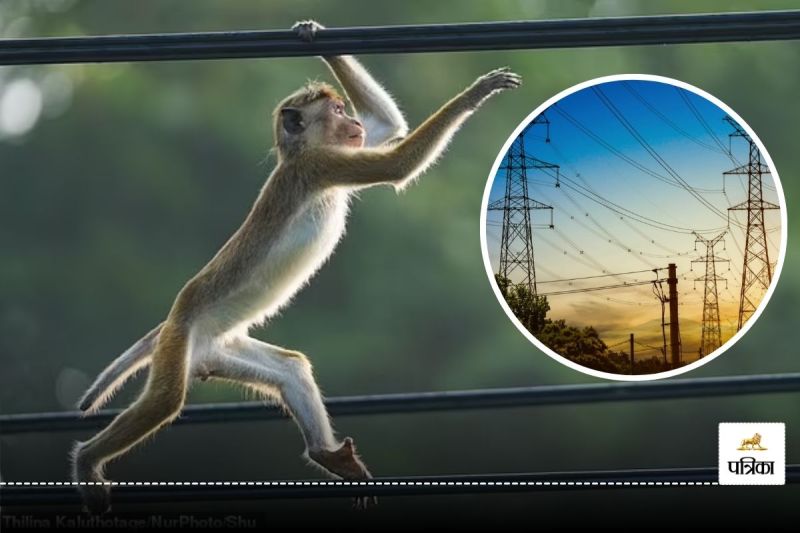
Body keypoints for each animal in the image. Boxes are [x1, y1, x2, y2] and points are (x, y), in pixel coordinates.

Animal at [71, 19, 521, 514]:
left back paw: (326, 454)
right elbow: (398, 163)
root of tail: (176, 323)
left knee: (291, 370)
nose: (353, 123)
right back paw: (87, 460)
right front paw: (474, 94)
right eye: (338, 112)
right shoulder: (321, 165)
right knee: (165, 401)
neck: (299, 153)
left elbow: (390, 127)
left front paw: (314, 35)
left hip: (219, 350)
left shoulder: (338, 153)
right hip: (179, 343)